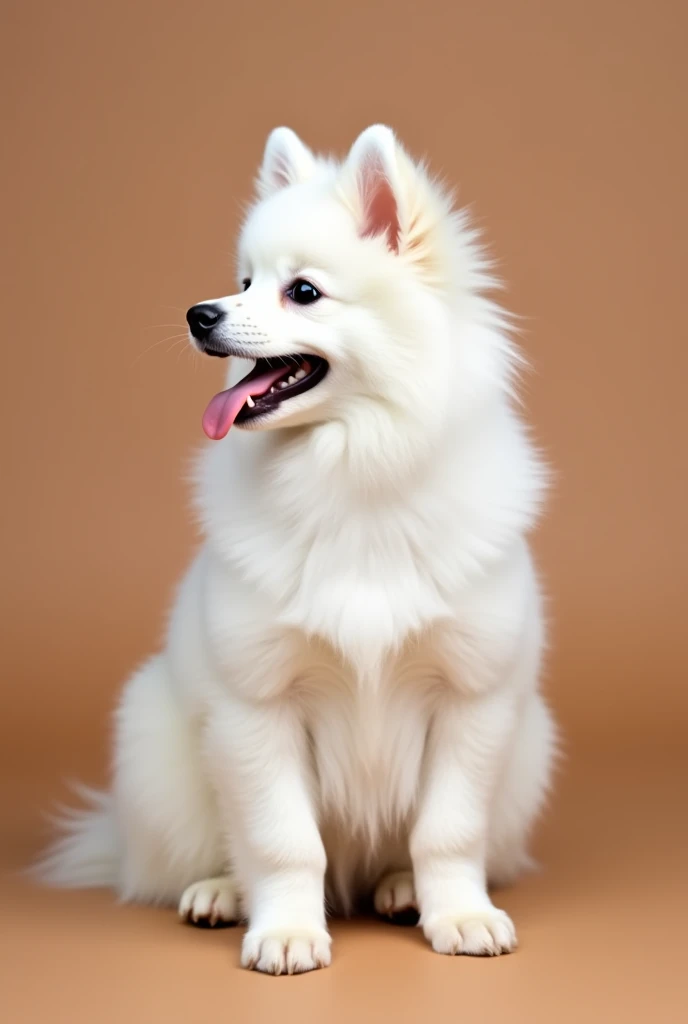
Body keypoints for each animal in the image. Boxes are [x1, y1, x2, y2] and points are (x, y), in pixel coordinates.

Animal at [36, 123, 552, 970]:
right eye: (244, 281)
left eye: (302, 291)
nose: (199, 313)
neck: (353, 468)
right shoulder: (259, 708)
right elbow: (284, 842)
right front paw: (286, 931)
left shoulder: (472, 702)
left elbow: (447, 832)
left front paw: (459, 915)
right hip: (156, 742)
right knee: (211, 854)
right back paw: (219, 894)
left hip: (531, 745)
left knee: (400, 854)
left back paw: (400, 889)